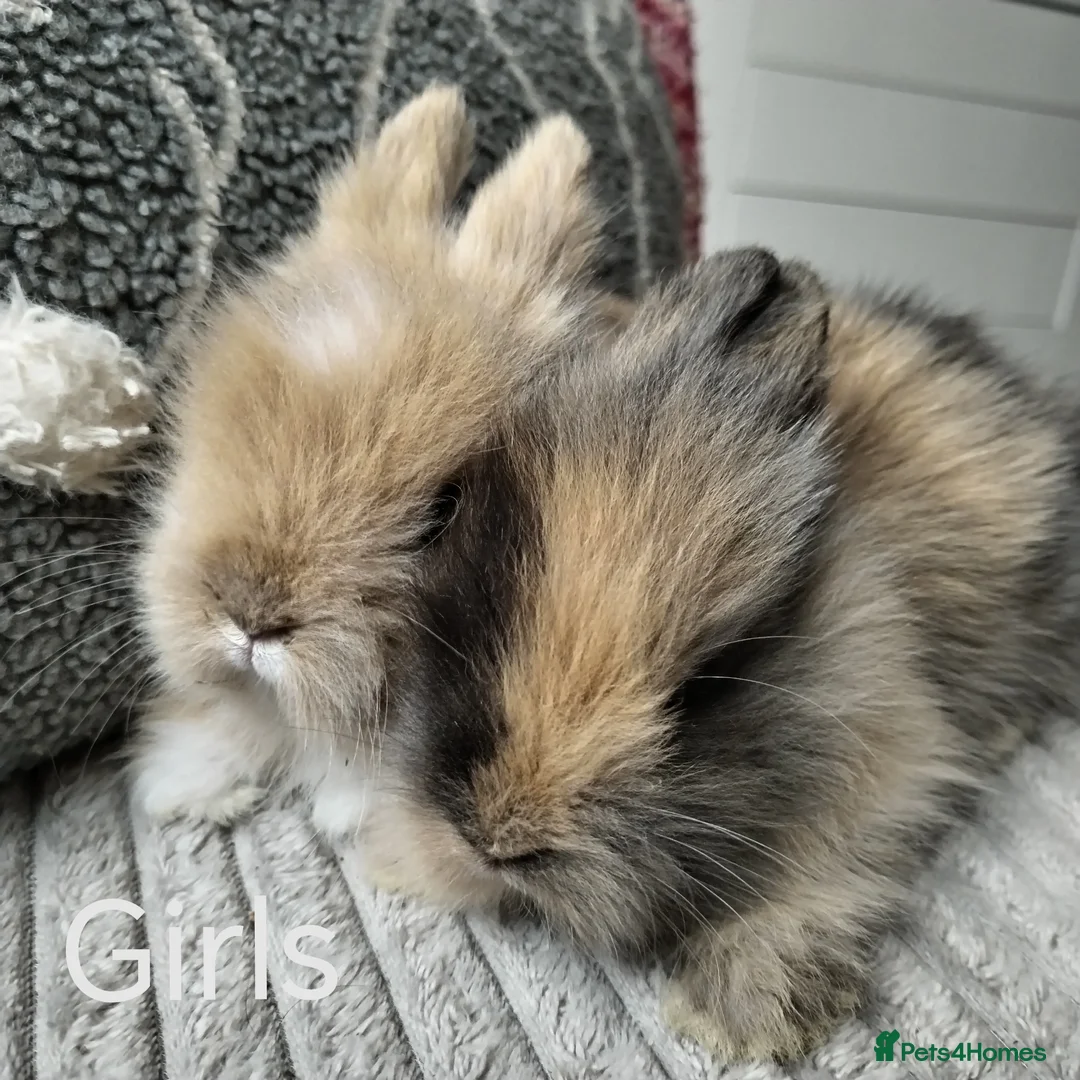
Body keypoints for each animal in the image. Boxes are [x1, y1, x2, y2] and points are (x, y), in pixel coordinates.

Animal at [358, 246, 1080, 1061]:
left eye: (711, 680)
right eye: (483, 583)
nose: (500, 840)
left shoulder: (896, 757)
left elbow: (827, 870)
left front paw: (738, 1014)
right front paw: (406, 867)